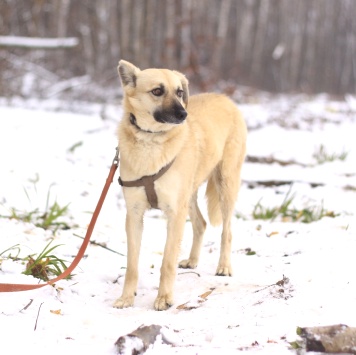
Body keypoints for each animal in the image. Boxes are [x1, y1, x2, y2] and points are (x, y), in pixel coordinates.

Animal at [114, 61, 248, 312]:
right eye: (157, 91)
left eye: (178, 92)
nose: (183, 114)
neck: (151, 141)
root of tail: (224, 97)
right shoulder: (134, 215)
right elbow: (132, 264)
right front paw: (126, 298)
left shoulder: (175, 214)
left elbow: (167, 262)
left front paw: (164, 298)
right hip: (189, 195)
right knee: (201, 223)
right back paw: (193, 260)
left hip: (225, 185)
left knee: (227, 231)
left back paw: (224, 266)